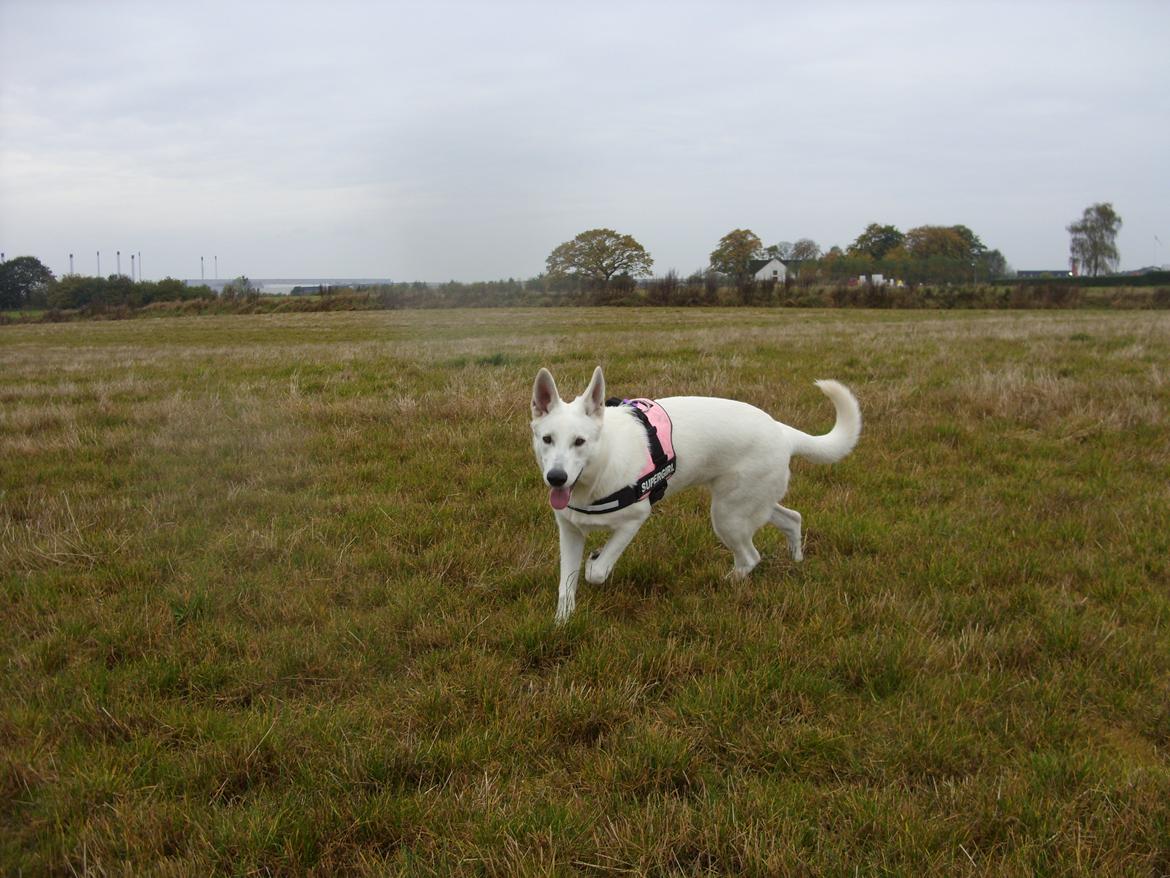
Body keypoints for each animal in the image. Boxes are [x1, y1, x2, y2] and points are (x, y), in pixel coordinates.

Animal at [531, 367, 861, 622]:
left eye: (580, 441)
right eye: (547, 439)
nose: (556, 478)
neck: (602, 462)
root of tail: (783, 432)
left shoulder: (634, 519)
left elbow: (598, 571)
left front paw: (594, 562)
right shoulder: (570, 531)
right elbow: (566, 586)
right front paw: (563, 622)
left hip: (728, 516)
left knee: (750, 557)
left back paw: (724, 583)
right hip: (752, 504)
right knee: (792, 518)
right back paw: (796, 560)